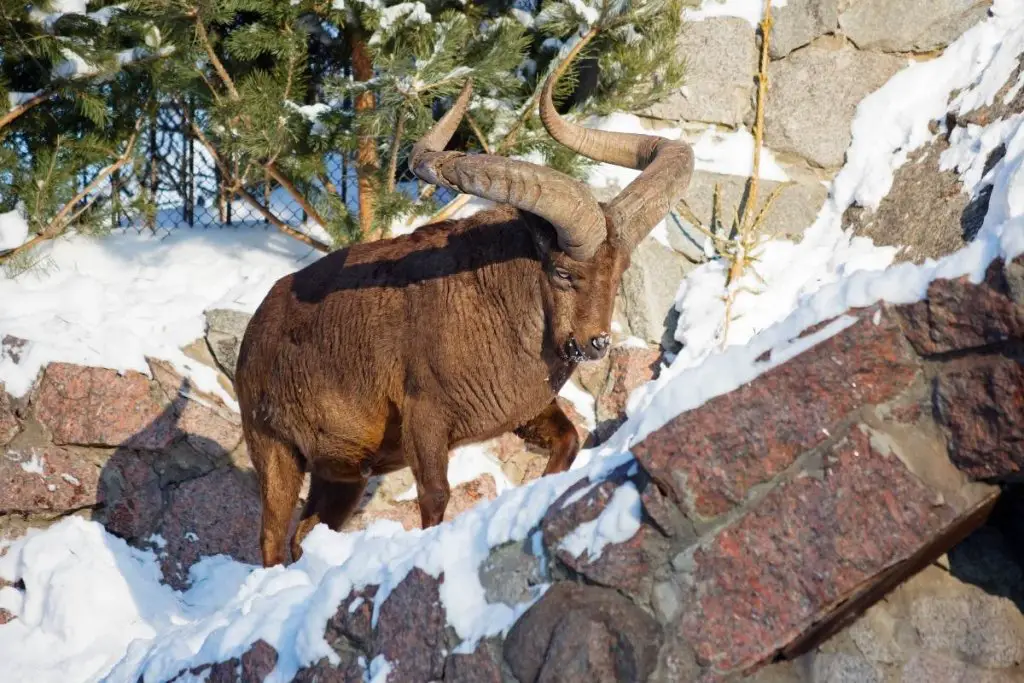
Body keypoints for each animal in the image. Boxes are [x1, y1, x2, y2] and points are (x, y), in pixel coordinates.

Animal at [235, 68, 692, 565]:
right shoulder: (425, 418)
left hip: (342, 474)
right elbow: (436, 495)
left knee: (305, 534)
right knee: (272, 536)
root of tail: (254, 331)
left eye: (619, 271)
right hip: (274, 448)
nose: (595, 343)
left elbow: (569, 439)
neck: (494, 304)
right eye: (563, 271)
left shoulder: (523, 410)